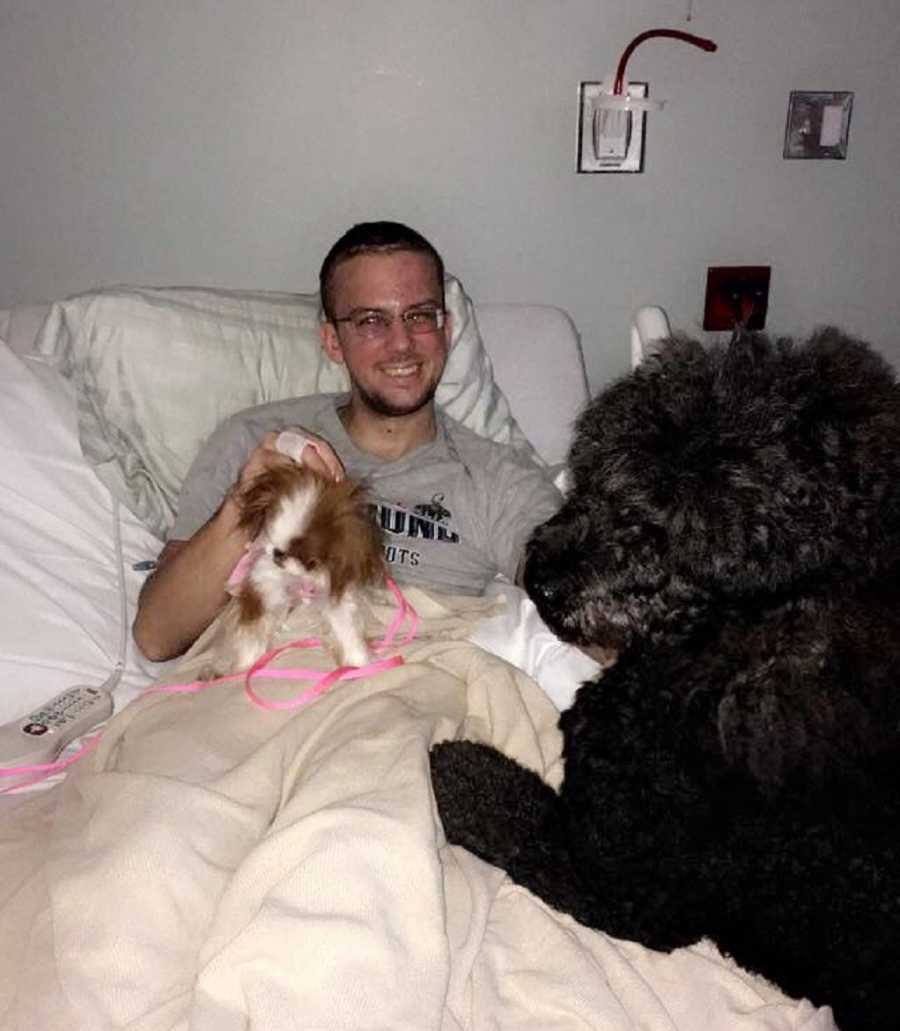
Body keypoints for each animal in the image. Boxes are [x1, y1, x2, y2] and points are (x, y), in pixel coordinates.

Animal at [192, 466, 383, 676]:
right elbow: (251, 636)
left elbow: (346, 630)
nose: (278, 553)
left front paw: (358, 662)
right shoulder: (261, 592)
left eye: (310, 561)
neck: (298, 580)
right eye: (269, 533)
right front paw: (245, 666)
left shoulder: (334, 597)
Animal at [428, 329, 898, 1031]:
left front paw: (450, 763)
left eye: (679, 529)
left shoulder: (630, 891)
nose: (542, 578)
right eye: (603, 470)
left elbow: (505, 810)